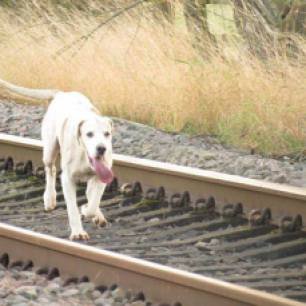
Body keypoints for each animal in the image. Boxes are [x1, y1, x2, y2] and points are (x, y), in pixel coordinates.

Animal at [0, 78, 113, 239]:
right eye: (89, 134)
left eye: (107, 134)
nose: (102, 148)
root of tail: (61, 94)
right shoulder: (67, 179)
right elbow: (72, 208)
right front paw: (78, 232)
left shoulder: (102, 175)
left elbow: (93, 202)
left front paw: (89, 210)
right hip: (49, 149)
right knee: (50, 169)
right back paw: (50, 199)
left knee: (89, 192)